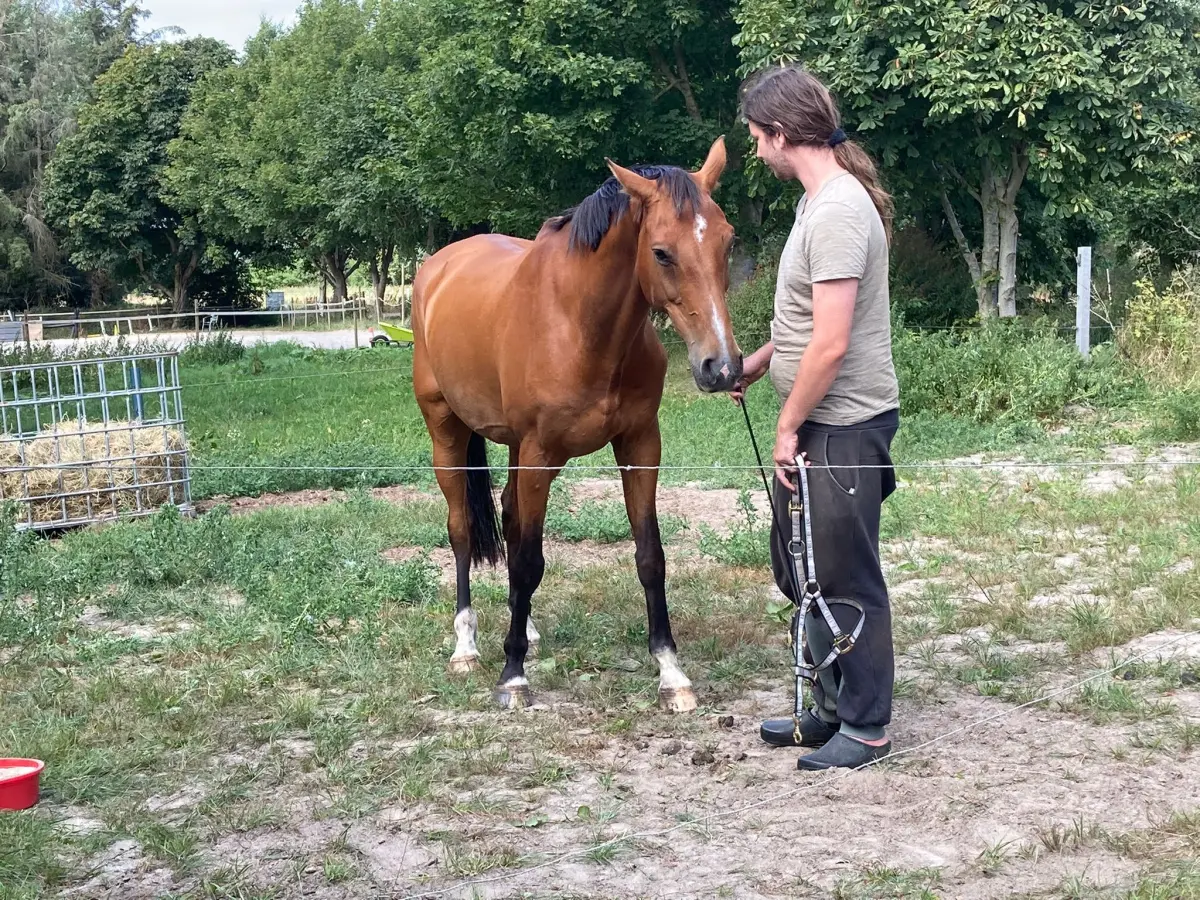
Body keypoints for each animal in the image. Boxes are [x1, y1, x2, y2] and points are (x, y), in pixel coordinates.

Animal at [412, 137, 739, 710]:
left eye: (727, 241)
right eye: (661, 252)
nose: (719, 367)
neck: (578, 322)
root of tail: (438, 268)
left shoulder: (639, 444)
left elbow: (649, 555)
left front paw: (671, 672)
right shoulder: (539, 452)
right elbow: (527, 559)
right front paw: (513, 676)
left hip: (516, 450)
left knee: (509, 517)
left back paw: (525, 628)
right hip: (447, 432)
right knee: (461, 531)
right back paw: (467, 646)